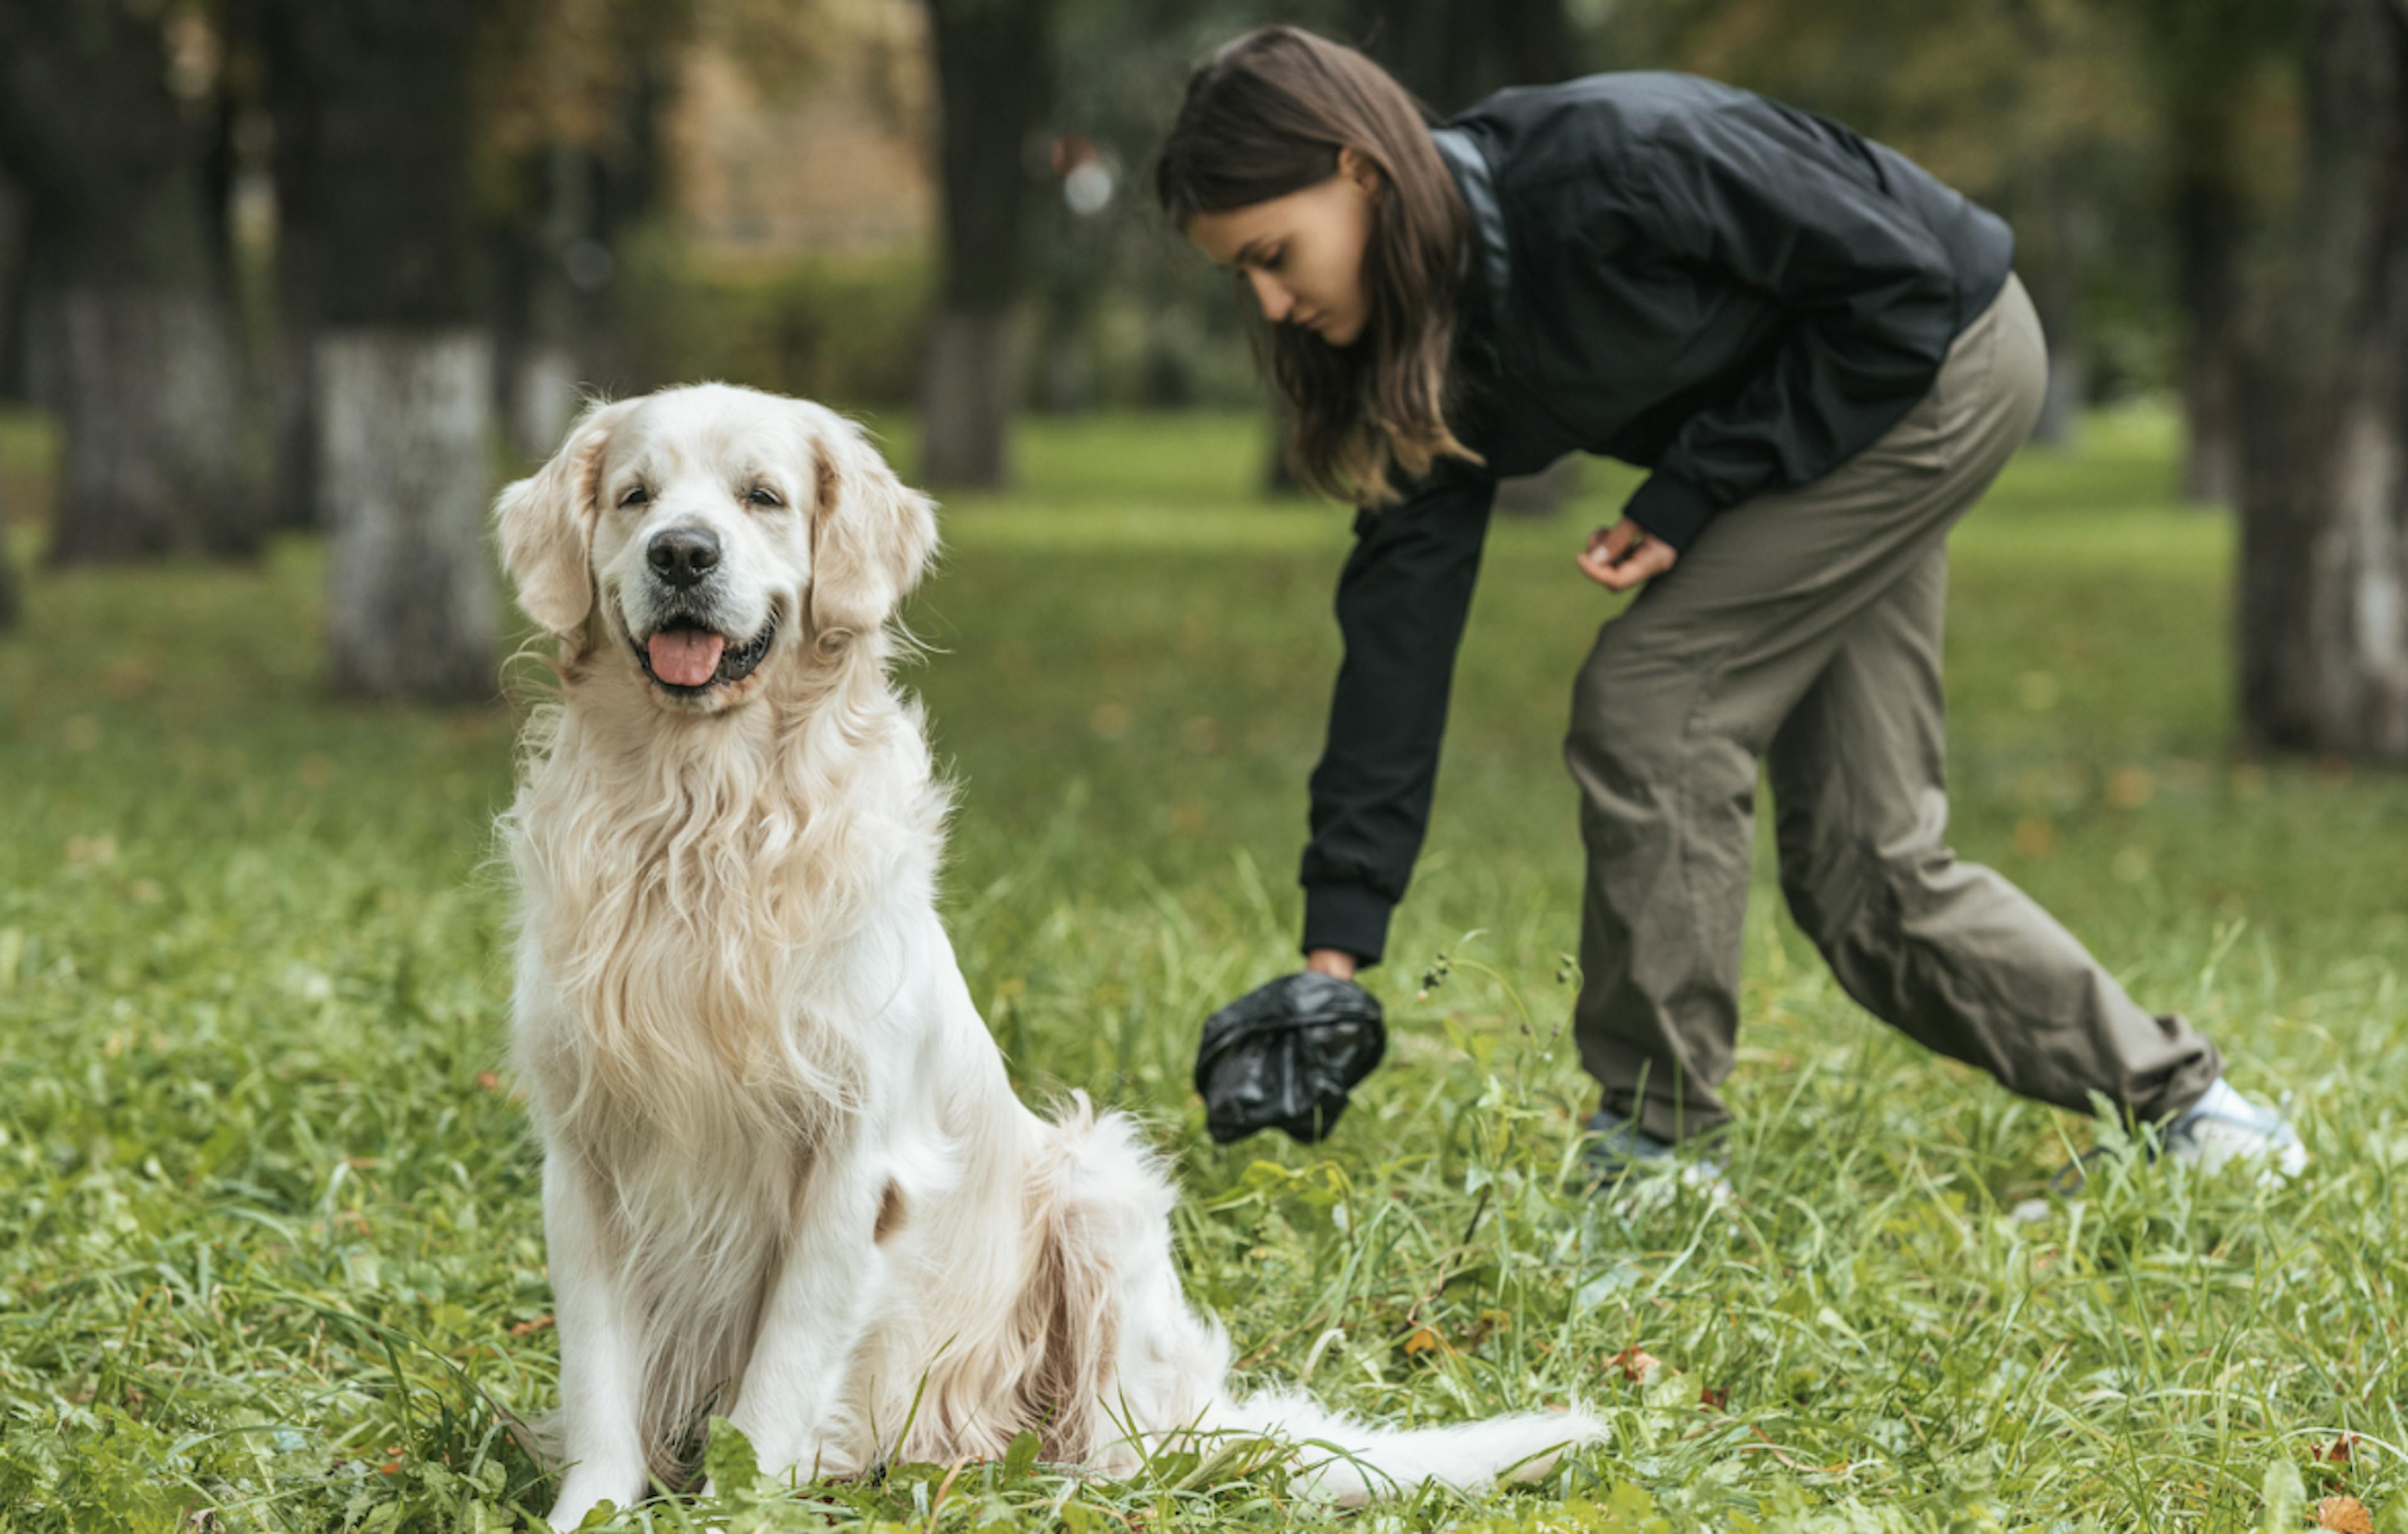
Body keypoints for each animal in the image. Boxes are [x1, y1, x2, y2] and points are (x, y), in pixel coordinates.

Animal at [488, 380, 1598, 1521]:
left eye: (763, 497)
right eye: (635, 497)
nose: (682, 552)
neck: (701, 819)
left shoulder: (852, 1161)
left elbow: (774, 1390)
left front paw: (732, 1509)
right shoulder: (585, 1153)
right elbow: (601, 1384)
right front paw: (590, 1510)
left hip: (1099, 1185)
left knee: (1125, 1451)